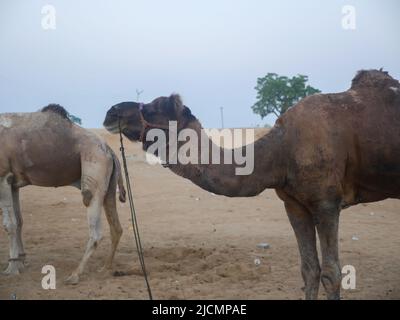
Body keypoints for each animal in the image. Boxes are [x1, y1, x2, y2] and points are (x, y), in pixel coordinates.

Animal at [0, 104, 126, 284]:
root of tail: (109, 149)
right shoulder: (14, 182)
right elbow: (19, 222)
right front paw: (21, 261)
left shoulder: (3, 176)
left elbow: (9, 224)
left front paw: (11, 269)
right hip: (109, 184)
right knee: (116, 227)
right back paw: (105, 268)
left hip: (94, 165)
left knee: (95, 228)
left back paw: (75, 274)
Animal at [104, 70, 400, 300]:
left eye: (154, 107)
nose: (111, 111)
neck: (282, 150)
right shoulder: (294, 204)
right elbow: (309, 269)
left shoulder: (326, 203)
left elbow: (332, 273)